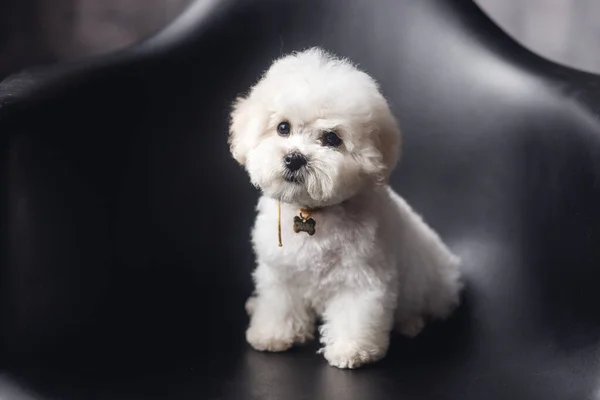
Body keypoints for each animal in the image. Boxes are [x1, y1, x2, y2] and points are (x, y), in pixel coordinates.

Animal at [227, 48, 462, 370]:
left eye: (332, 138)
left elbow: (356, 313)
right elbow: (279, 303)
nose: (294, 158)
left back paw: (411, 324)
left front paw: (353, 349)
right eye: (283, 127)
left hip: (431, 286)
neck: (312, 212)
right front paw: (273, 334)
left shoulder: (362, 277)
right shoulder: (281, 272)